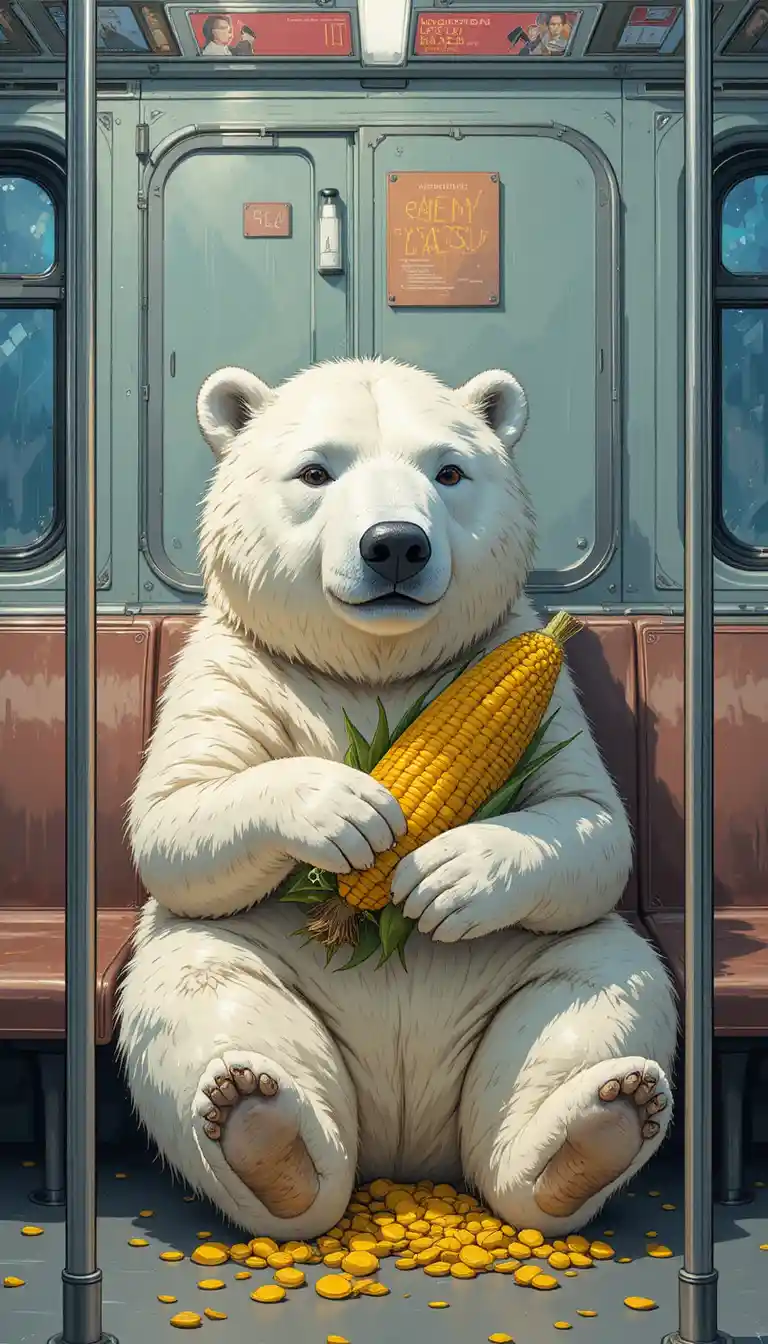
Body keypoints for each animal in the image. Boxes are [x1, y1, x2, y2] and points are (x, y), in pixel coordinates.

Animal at [117, 357, 677, 1243]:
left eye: (448, 471)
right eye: (316, 471)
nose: (395, 545)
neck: (373, 668)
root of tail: (408, 1146)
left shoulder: (528, 674)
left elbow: (591, 822)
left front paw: (450, 873)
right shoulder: (235, 665)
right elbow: (177, 813)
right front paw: (348, 809)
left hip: (520, 973)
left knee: (593, 988)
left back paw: (594, 1129)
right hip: (268, 959)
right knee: (205, 985)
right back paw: (263, 1131)